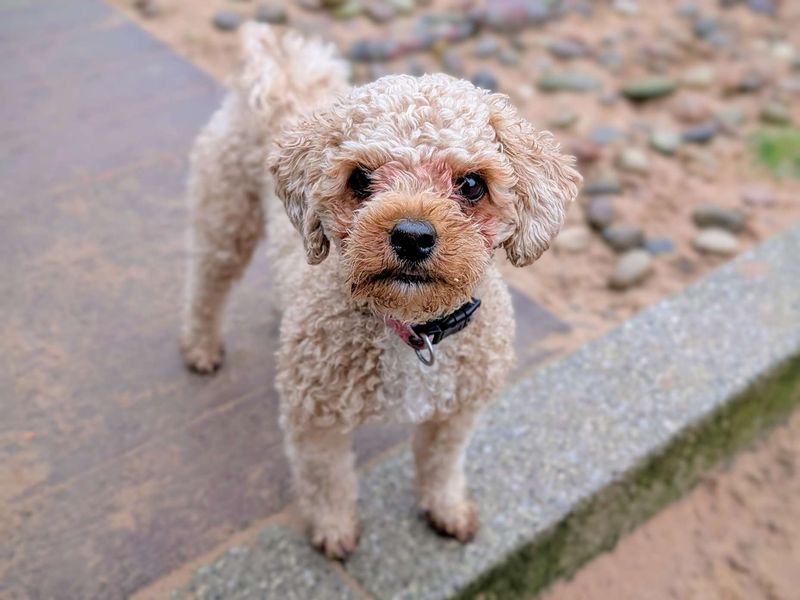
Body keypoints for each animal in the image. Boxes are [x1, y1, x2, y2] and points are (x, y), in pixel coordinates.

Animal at [181, 23, 580, 556]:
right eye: (360, 178)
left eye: (472, 184)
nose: (412, 235)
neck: (413, 330)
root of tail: (282, 71)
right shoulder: (315, 418)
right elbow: (327, 479)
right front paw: (334, 530)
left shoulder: (456, 413)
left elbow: (442, 465)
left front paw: (448, 510)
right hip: (225, 219)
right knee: (206, 286)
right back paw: (201, 347)